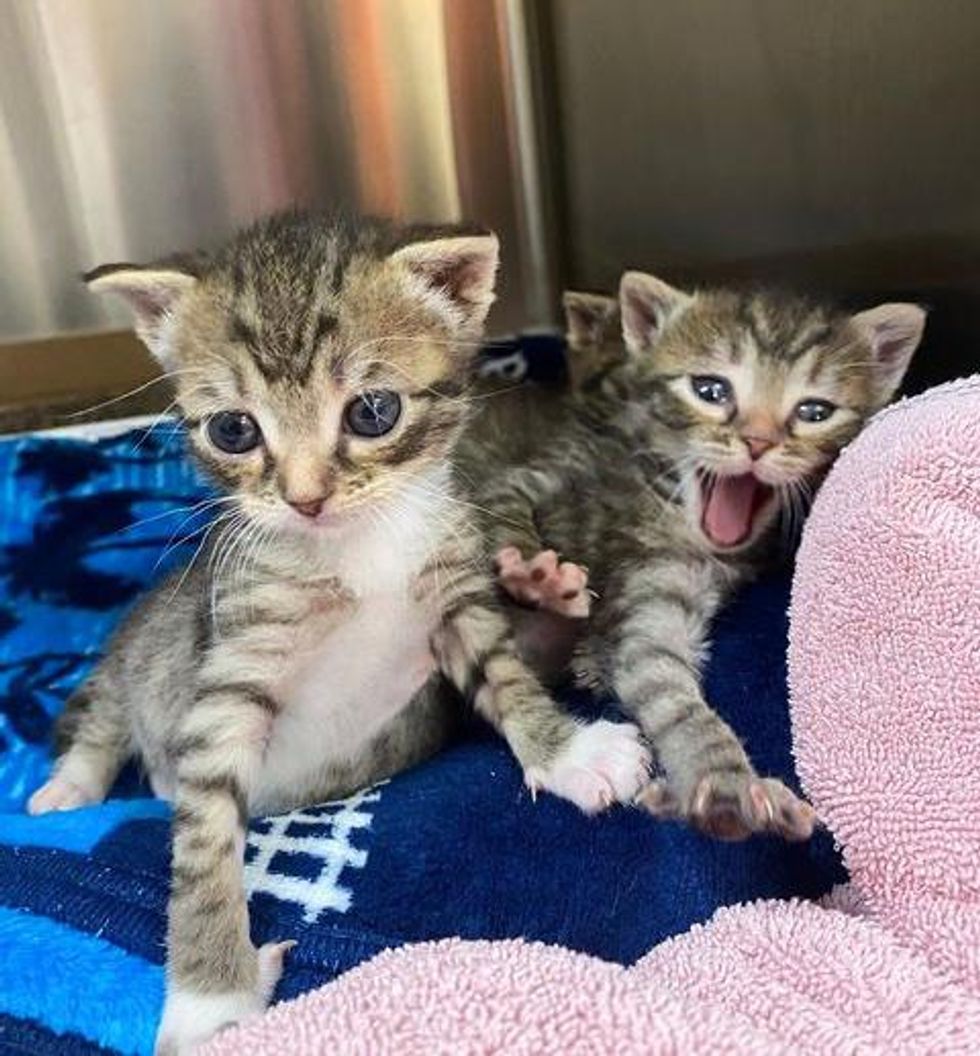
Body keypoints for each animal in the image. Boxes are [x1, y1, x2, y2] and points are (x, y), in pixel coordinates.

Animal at [24, 210, 650, 1051]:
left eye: (372, 412)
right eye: (233, 430)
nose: (305, 499)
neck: (360, 550)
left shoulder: (454, 603)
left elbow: (506, 674)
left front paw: (567, 752)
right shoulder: (232, 672)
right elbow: (204, 840)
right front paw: (210, 1000)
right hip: (137, 656)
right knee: (103, 719)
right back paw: (68, 790)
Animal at [481, 272, 925, 840]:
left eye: (815, 412)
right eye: (711, 391)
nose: (757, 442)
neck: (667, 496)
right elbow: (665, 688)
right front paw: (726, 784)